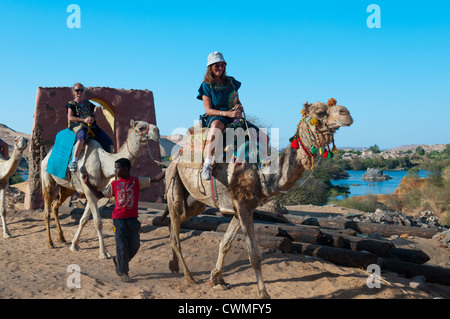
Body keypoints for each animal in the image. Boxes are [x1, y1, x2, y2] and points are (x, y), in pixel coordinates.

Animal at [40, 120, 160, 260]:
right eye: (140, 127)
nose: (157, 131)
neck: (103, 163)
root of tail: (47, 155)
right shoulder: (88, 190)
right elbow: (98, 222)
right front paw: (104, 253)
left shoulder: (94, 192)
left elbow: (84, 219)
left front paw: (74, 245)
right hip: (46, 177)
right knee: (47, 209)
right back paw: (50, 243)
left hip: (67, 187)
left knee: (55, 205)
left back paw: (61, 238)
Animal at [163, 99, 354, 300]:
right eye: (319, 112)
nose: (346, 113)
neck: (260, 172)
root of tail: (176, 156)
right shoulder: (243, 206)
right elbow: (254, 255)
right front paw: (263, 293)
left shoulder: (241, 208)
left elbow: (225, 244)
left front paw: (216, 279)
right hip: (174, 182)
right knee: (175, 228)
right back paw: (188, 276)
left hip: (195, 201)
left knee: (176, 223)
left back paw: (173, 265)